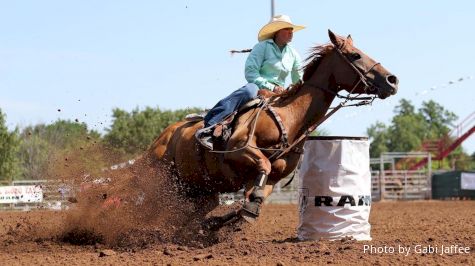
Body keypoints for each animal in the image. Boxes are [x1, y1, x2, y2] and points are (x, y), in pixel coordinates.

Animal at [141, 30, 398, 227]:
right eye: (355, 55)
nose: (392, 80)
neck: (289, 118)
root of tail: (162, 137)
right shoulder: (240, 149)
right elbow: (262, 165)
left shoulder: (273, 178)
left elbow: (251, 201)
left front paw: (223, 220)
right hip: (160, 179)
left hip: (198, 190)